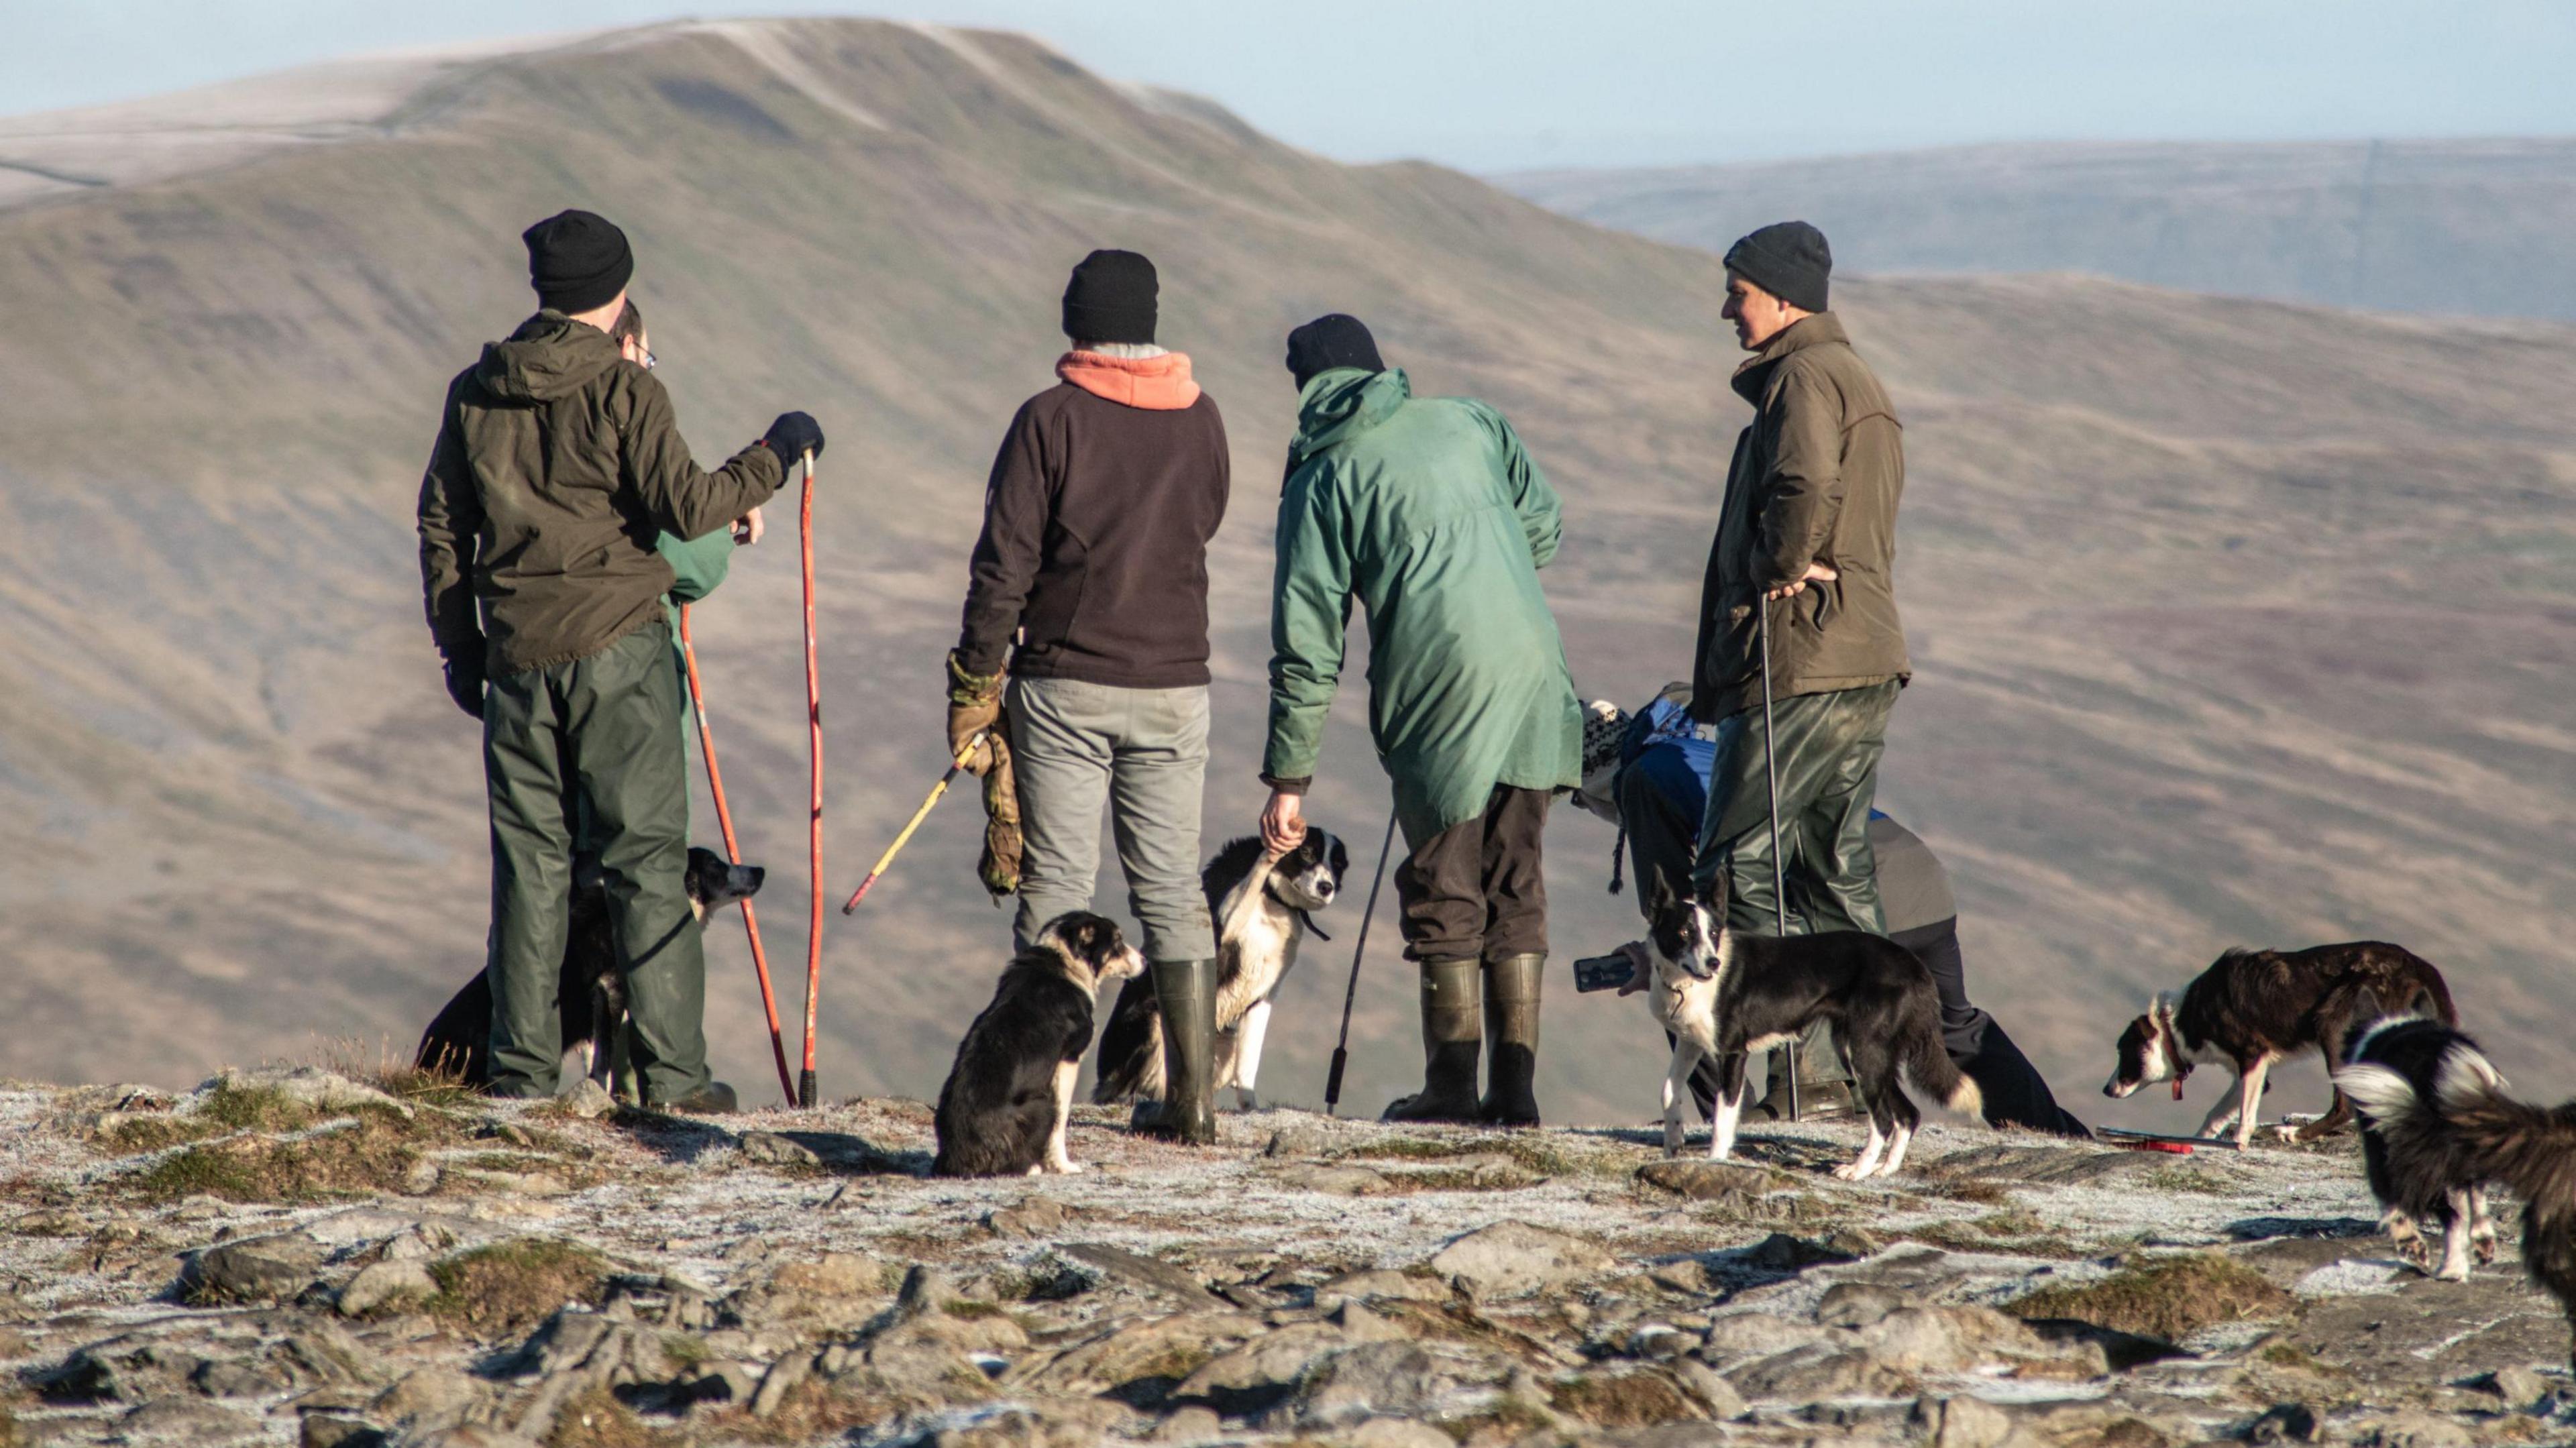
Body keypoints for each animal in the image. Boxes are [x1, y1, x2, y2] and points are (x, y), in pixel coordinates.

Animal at [417, 840, 762, 1087]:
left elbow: (596, 1059)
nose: (760, 870)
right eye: (715, 864)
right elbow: (605, 1059)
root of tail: (423, 1060)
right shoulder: (611, 990)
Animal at [932, 911, 1143, 1174]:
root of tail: (958, 1158)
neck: (1065, 962)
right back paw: (1032, 1167)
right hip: (1042, 1105)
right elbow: (1061, 1123)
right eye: (1117, 942)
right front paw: (1063, 1166)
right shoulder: (1068, 1061)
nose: (1145, 960)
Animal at [1087, 824, 1350, 1103]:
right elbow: (1255, 875)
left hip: (1225, 1041)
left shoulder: (1264, 996)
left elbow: (1248, 1069)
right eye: (1307, 853)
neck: (1274, 898)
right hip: (1150, 1021)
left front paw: (1251, 1108)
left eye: (1338, 864)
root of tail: (1105, 1081)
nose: (1326, 887)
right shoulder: (1222, 928)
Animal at [1638, 865, 1978, 1174]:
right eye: (1685, 932)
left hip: (1862, 1052)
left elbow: (1723, 1118)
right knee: (1908, 1115)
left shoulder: (1732, 1053)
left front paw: (1715, 1163)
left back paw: (1857, 1170)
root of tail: (1915, 966)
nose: (1714, 963)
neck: (1685, 984)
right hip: (1872, 1057)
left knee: (1883, 1120)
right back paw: (1885, 1171)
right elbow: (1668, 1092)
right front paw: (1673, 1145)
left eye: (1713, 933)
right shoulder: (1689, 1043)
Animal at [2092, 938, 2452, 1149]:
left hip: (2333, 1025)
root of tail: (2422, 966)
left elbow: (2245, 1115)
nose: (2106, 1090)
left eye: (2124, 1052)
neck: (2181, 1020)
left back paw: (2296, 1135)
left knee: (2346, 1105)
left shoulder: (2253, 1056)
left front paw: (2239, 1143)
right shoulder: (2248, 1071)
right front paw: (2202, 1139)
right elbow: (2216, 1113)